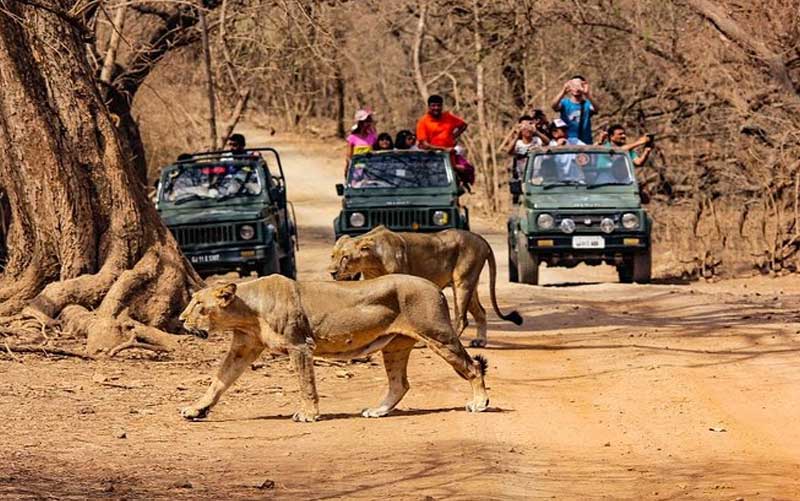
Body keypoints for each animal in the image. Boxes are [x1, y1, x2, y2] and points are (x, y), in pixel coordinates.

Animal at [179, 274, 490, 422]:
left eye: (198, 305)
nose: (181, 319)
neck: (247, 311)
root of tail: (436, 288)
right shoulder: (243, 348)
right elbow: (218, 381)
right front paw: (196, 409)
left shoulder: (299, 345)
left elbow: (306, 384)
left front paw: (308, 415)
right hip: (395, 347)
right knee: (400, 383)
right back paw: (377, 411)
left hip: (438, 335)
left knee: (473, 366)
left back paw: (480, 403)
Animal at [328, 228, 520, 348]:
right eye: (333, 255)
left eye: (345, 257)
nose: (332, 272)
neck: (372, 262)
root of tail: (482, 240)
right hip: (469, 284)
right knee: (481, 312)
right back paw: (480, 341)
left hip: (463, 282)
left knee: (462, 317)